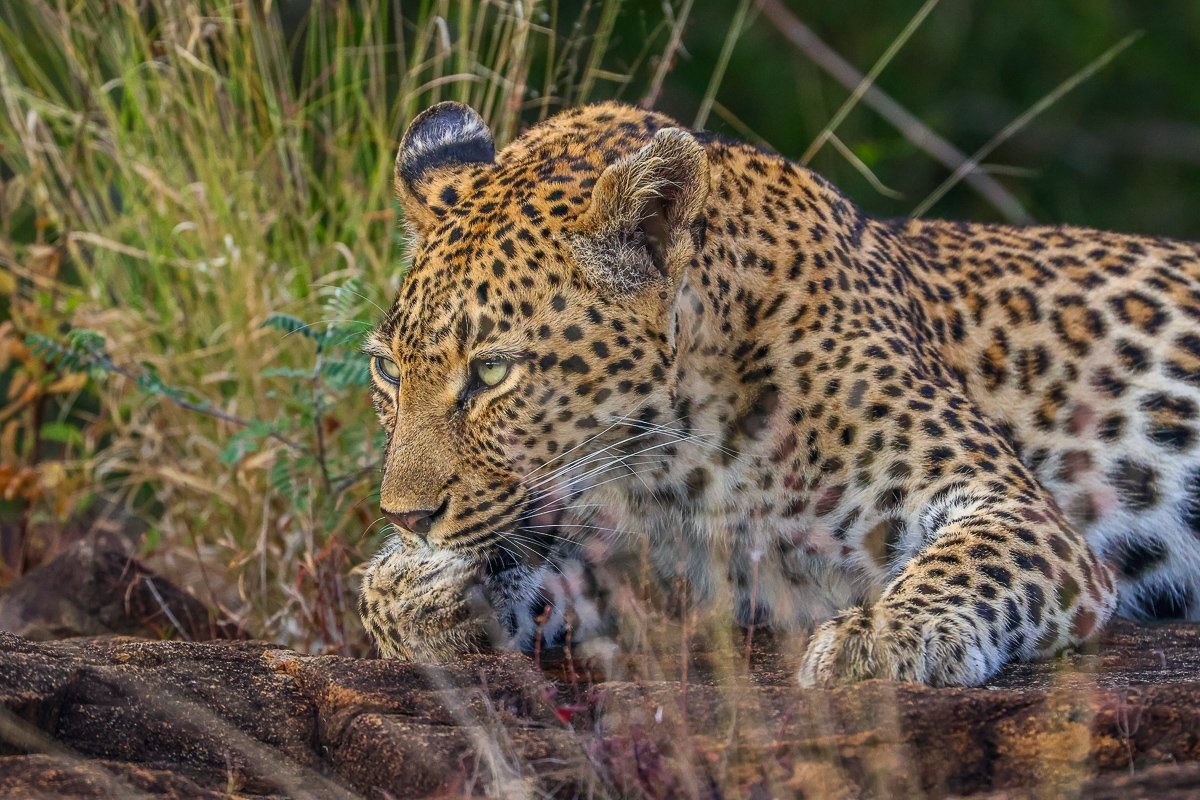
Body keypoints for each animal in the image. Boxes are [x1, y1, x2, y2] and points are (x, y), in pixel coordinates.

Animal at [357, 100, 1200, 686]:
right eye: (387, 372)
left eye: (493, 371)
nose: (406, 518)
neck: (678, 459)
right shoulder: (667, 585)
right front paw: (419, 591)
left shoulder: (1019, 513)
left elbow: (966, 564)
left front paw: (877, 637)